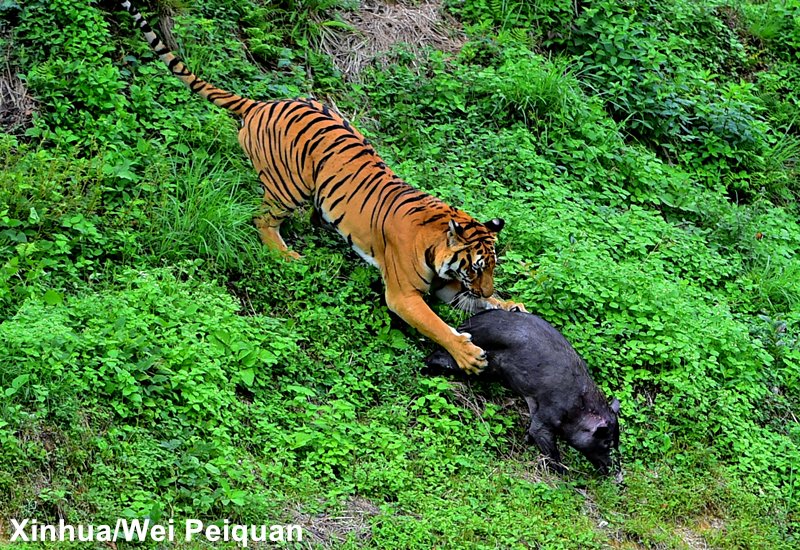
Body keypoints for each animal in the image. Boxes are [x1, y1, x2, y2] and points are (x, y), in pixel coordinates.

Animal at [118, 0, 526, 374]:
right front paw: (467, 354)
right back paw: (288, 256)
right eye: (475, 267)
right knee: (261, 220)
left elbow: (476, 303)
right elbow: (437, 325)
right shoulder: (402, 294)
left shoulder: (447, 286)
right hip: (288, 187)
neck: (437, 243)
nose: (485, 287)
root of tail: (261, 103)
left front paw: (507, 304)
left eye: (490, 268)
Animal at [425, 309, 621, 477]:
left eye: (616, 442)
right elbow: (545, 442)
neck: (579, 409)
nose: (617, 475)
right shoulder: (548, 414)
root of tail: (467, 323)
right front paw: (565, 475)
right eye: (606, 442)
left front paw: (526, 440)